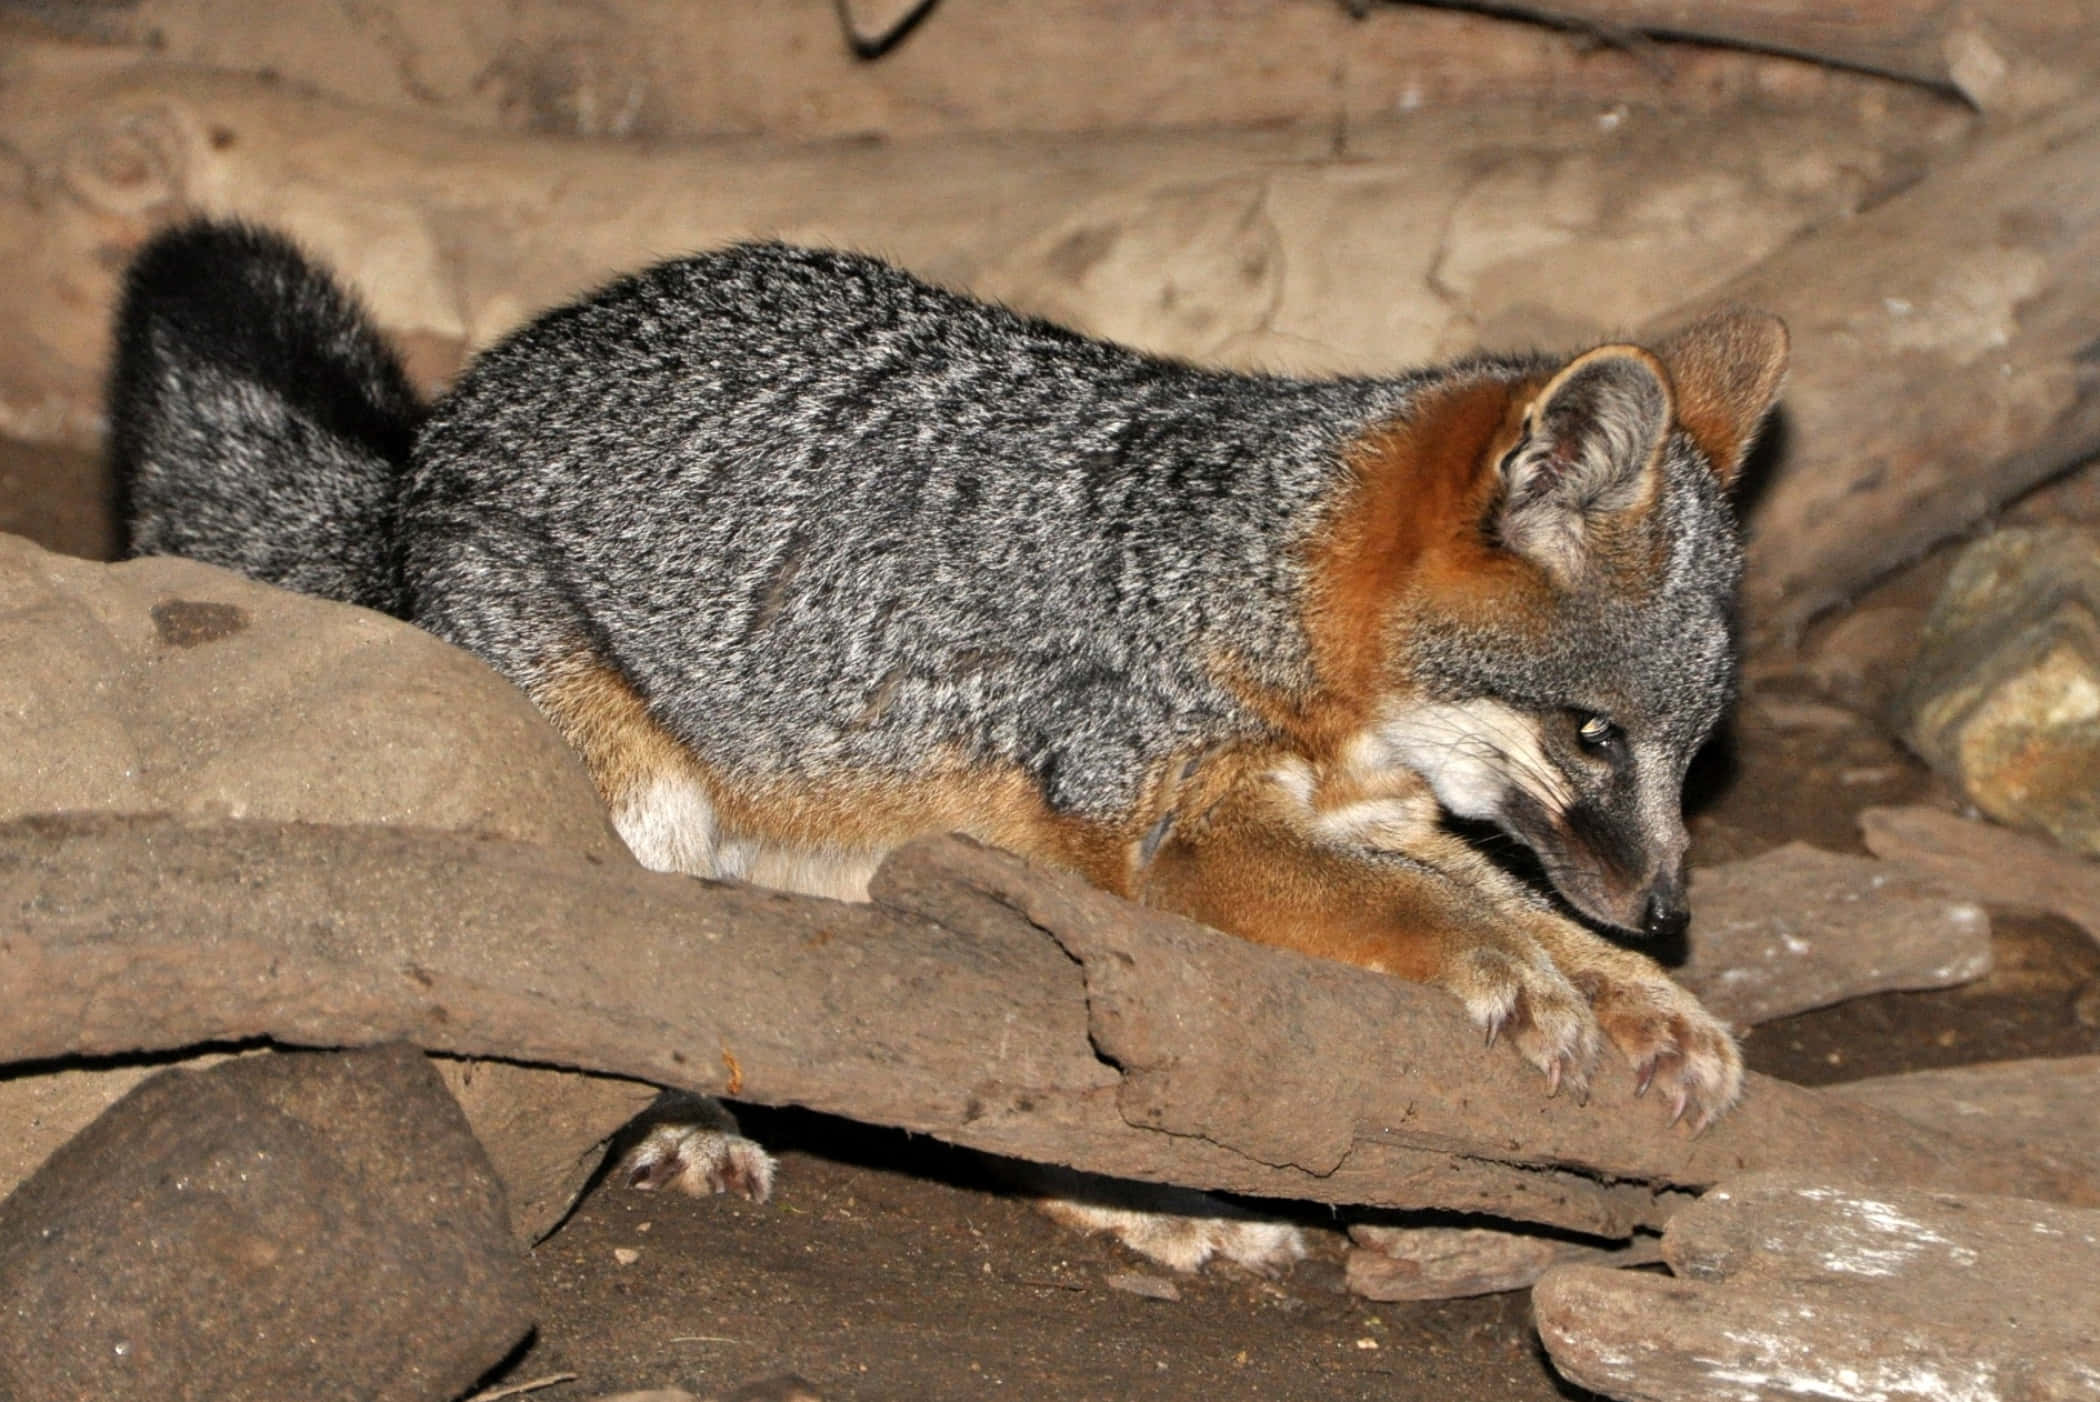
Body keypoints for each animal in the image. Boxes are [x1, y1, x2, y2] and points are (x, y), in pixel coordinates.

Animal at [111, 221, 1783, 1263]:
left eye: (1690, 752)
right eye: (1592, 733)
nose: (1667, 910)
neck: (1253, 569)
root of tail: (416, 459)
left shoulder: (1338, 819)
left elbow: (1477, 888)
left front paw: (1639, 997)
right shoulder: (1162, 830)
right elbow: (1416, 914)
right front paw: (1517, 974)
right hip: (647, 806)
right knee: (642, 982)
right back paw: (694, 1125)